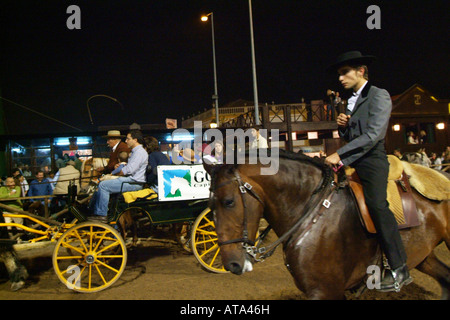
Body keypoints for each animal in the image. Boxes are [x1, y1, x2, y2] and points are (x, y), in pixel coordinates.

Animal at [205, 150, 450, 300]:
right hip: (423, 255)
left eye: (229, 202)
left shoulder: (325, 290)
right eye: (210, 205)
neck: (311, 211)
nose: (231, 264)